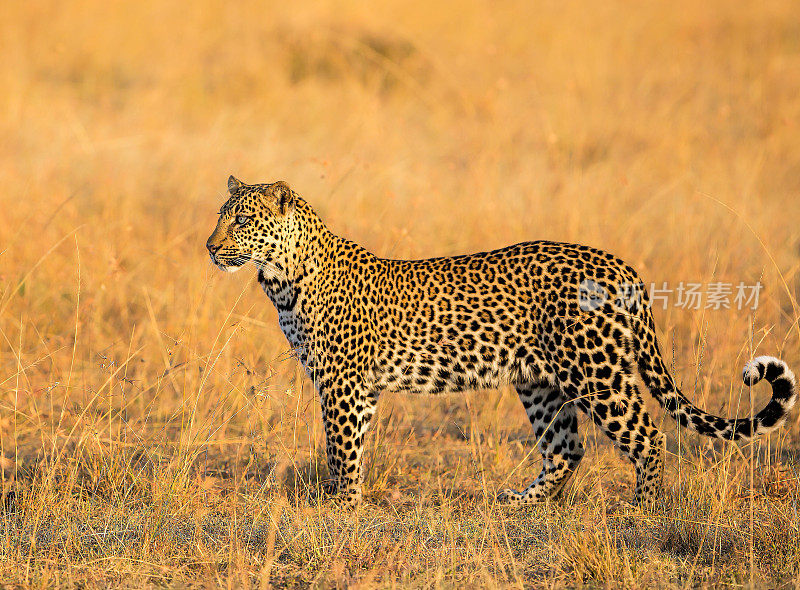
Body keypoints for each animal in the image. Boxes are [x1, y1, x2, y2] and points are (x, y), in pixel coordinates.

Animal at [205, 176, 792, 508]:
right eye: (220, 218)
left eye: (243, 220)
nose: (209, 247)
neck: (282, 277)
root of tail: (618, 264)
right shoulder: (359, 389)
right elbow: (352, 449)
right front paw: (346, 504)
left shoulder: (343, 384)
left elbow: (341, 451)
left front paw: (339, 510)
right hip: (541, 382)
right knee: (566, 449)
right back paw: (523, 504)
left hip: (596, 372)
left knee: (647, 437)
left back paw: (643, 509)